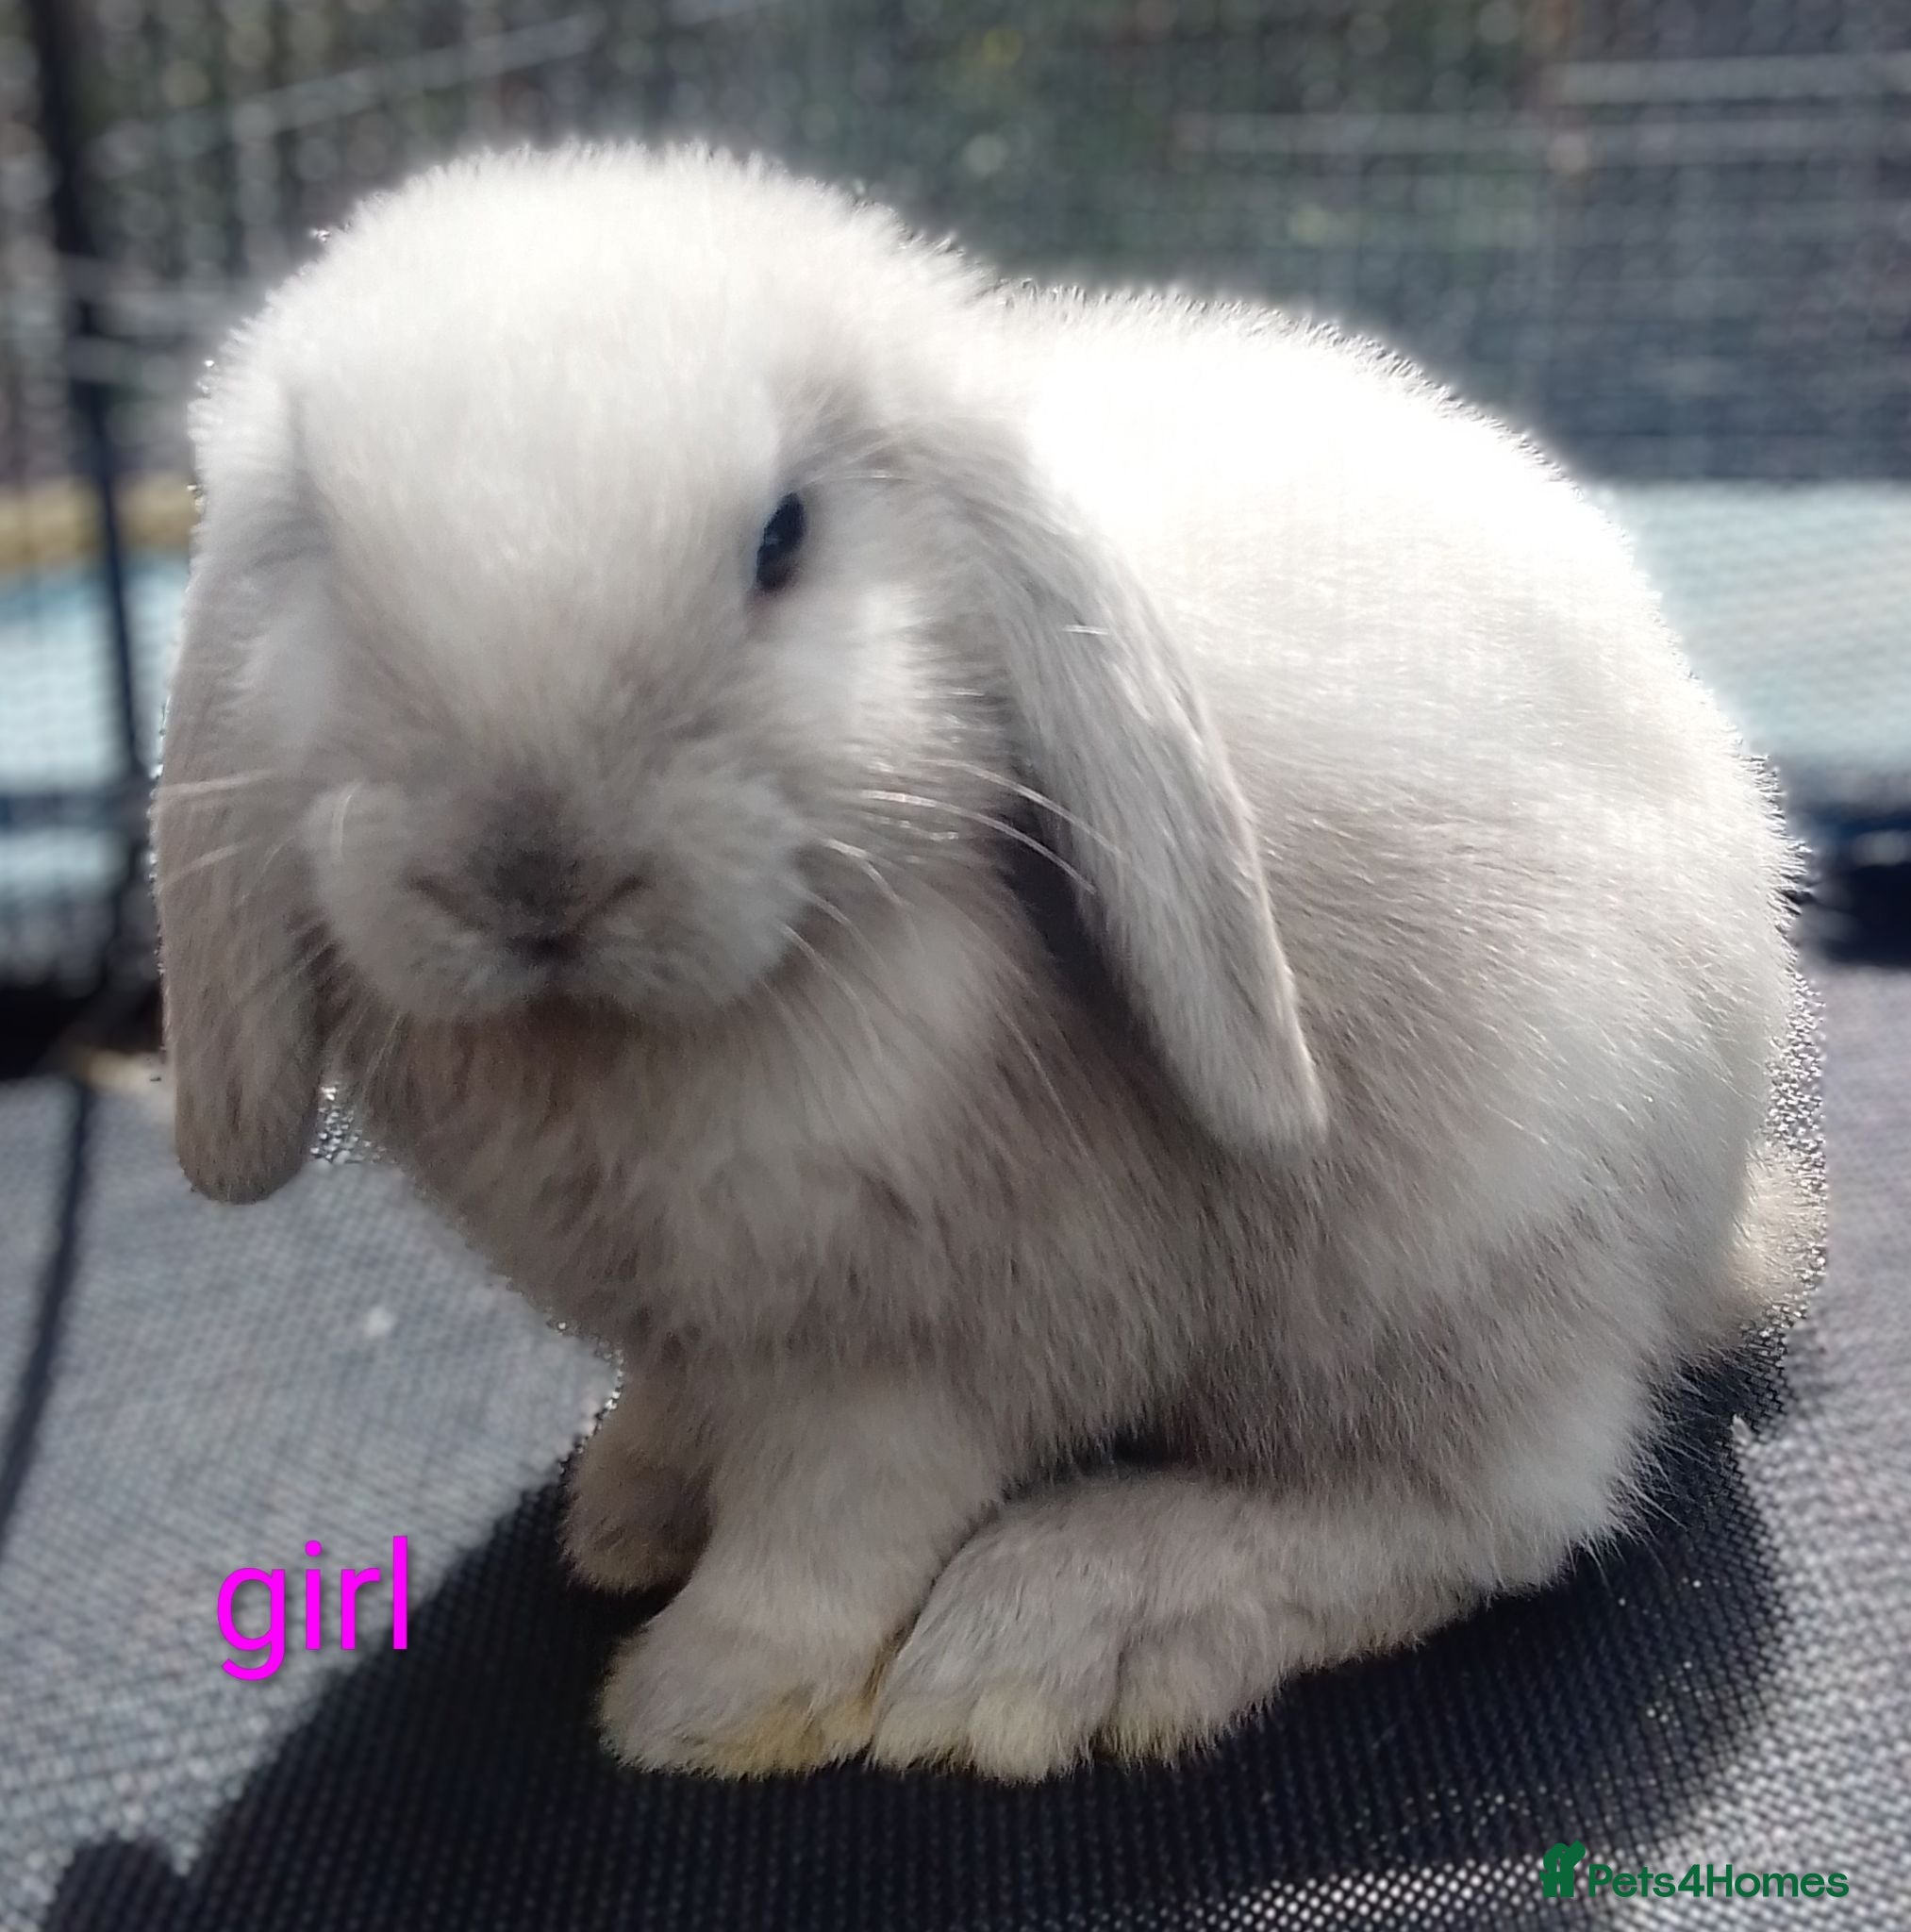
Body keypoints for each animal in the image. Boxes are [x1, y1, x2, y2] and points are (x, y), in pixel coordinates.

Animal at [153, 142, 1815, 1782]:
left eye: (784, 539)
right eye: (319, 554)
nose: (532, 874)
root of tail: (1715, 1237)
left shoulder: (914, 1353)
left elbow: (827, 1535)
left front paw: (702, 1706)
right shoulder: (702, 1329)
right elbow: (696, 1421)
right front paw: (632, 1508)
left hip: (1465, 1256)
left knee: (1491, 1509)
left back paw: (1058, 1633)